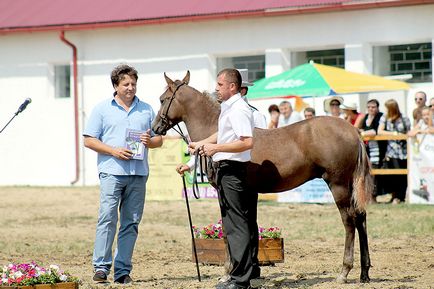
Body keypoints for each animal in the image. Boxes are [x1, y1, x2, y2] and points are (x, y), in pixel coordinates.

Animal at [152, 71, 372, 282]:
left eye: (163, 99)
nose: (154, 128)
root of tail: (352, 130)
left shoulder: (226, 193)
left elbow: (229, 232)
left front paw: (228, 272)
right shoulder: (249, 193)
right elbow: (250, 229)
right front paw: (251, 271)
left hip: (338, 185)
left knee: (349, 221)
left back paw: (344, 272)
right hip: (350, 186)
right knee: (361, 218)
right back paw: (364, 272)